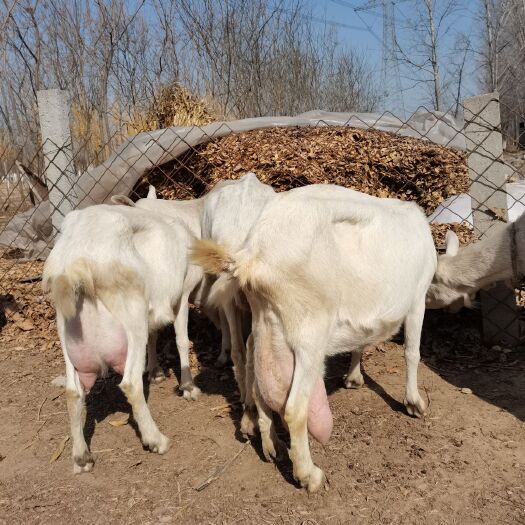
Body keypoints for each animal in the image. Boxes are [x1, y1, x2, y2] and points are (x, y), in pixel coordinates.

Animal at [43, 204, 203, 470]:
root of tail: (78, 259)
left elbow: (154, 336)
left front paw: (156, 372)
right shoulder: (182, 294)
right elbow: (181, 340)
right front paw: (188, 387)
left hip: (66, 331)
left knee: (72, 392)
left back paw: (81, 456)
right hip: (133, 316)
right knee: (130, 383)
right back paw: (156, 440)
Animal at [190, 183, 436, 492]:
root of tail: (252, 256)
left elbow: (361, 342)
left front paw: (354, 378)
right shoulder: (418, 297)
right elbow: (412, 352)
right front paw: (414, 403)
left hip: (267, 325)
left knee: (256, 378)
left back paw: (271, 445)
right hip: (309, 336)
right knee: (295, 408)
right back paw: (308, 475)